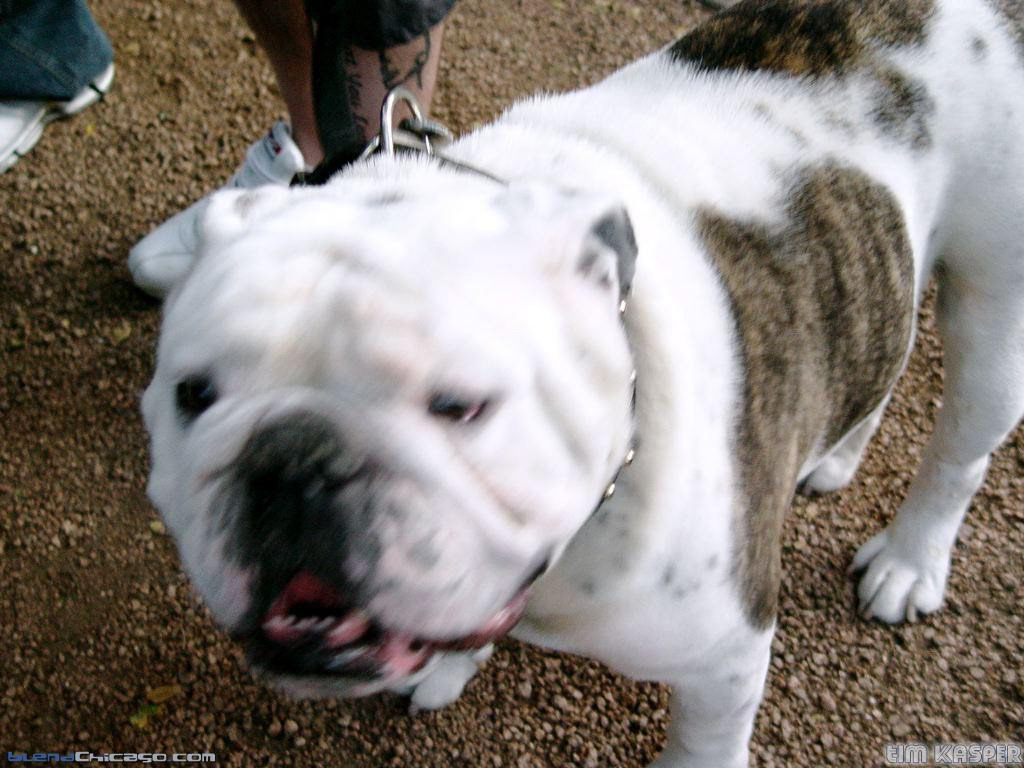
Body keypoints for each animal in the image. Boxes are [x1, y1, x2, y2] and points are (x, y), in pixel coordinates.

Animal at [142, 1, 1024, 765]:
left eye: (460, 406)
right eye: (193, 395)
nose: (291, 458)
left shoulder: (724, 658)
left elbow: (701, 747)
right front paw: (452, 667)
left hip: (993, 320)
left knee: (958, 454)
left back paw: (909, 562)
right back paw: (834, 457)